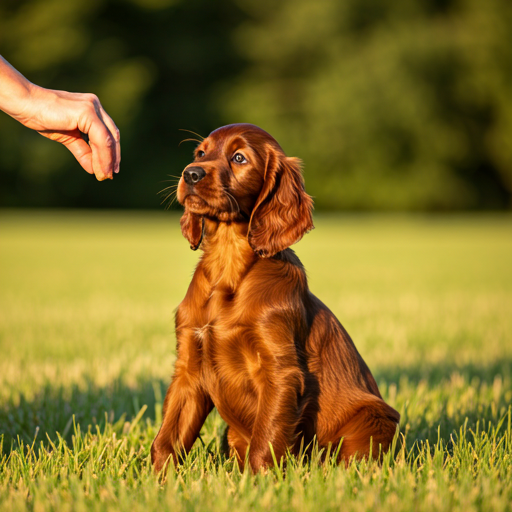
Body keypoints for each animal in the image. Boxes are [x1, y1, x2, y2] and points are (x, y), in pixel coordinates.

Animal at [151, 124, 400, 472]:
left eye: (239, 158)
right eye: (200, 153)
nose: (191, 174)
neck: (228, 265)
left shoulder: (279, 370)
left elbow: (265, 440)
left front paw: (258, 480)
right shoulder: (189, 367)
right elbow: (167, 439)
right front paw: (157, 479)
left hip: (374, 419)